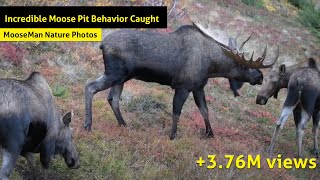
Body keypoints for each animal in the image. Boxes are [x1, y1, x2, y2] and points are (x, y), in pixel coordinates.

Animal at [84, 21, 278, 139]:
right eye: (245, 66)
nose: (260, 77)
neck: (212, 67)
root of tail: (102, 44)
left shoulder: (198, 87)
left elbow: (205, 110)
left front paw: (210, 134)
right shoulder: (183, 86)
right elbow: (177, 112)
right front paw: (173, 135)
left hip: (122, 77)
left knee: (113, 98)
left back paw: (124, 124)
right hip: (115, 73)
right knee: (90, 87)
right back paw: (88, 125)